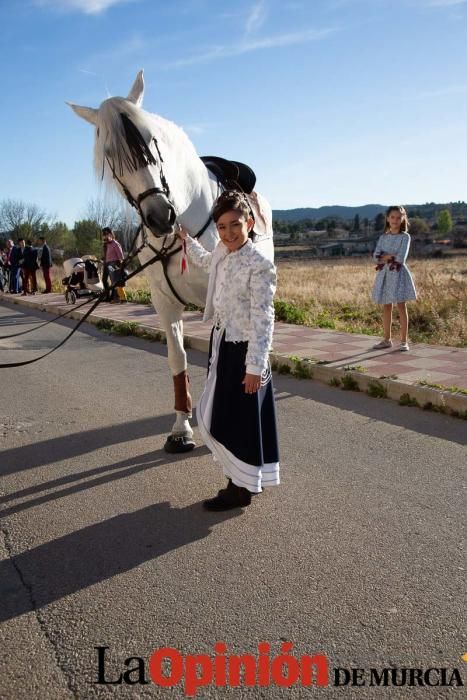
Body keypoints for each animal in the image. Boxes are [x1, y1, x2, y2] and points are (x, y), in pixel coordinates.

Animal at [69, 71, 274, 454]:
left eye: (152, 142)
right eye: (110, 155)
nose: (160, 217)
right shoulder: (165, 303)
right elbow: (178, 359)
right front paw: (182, 428)